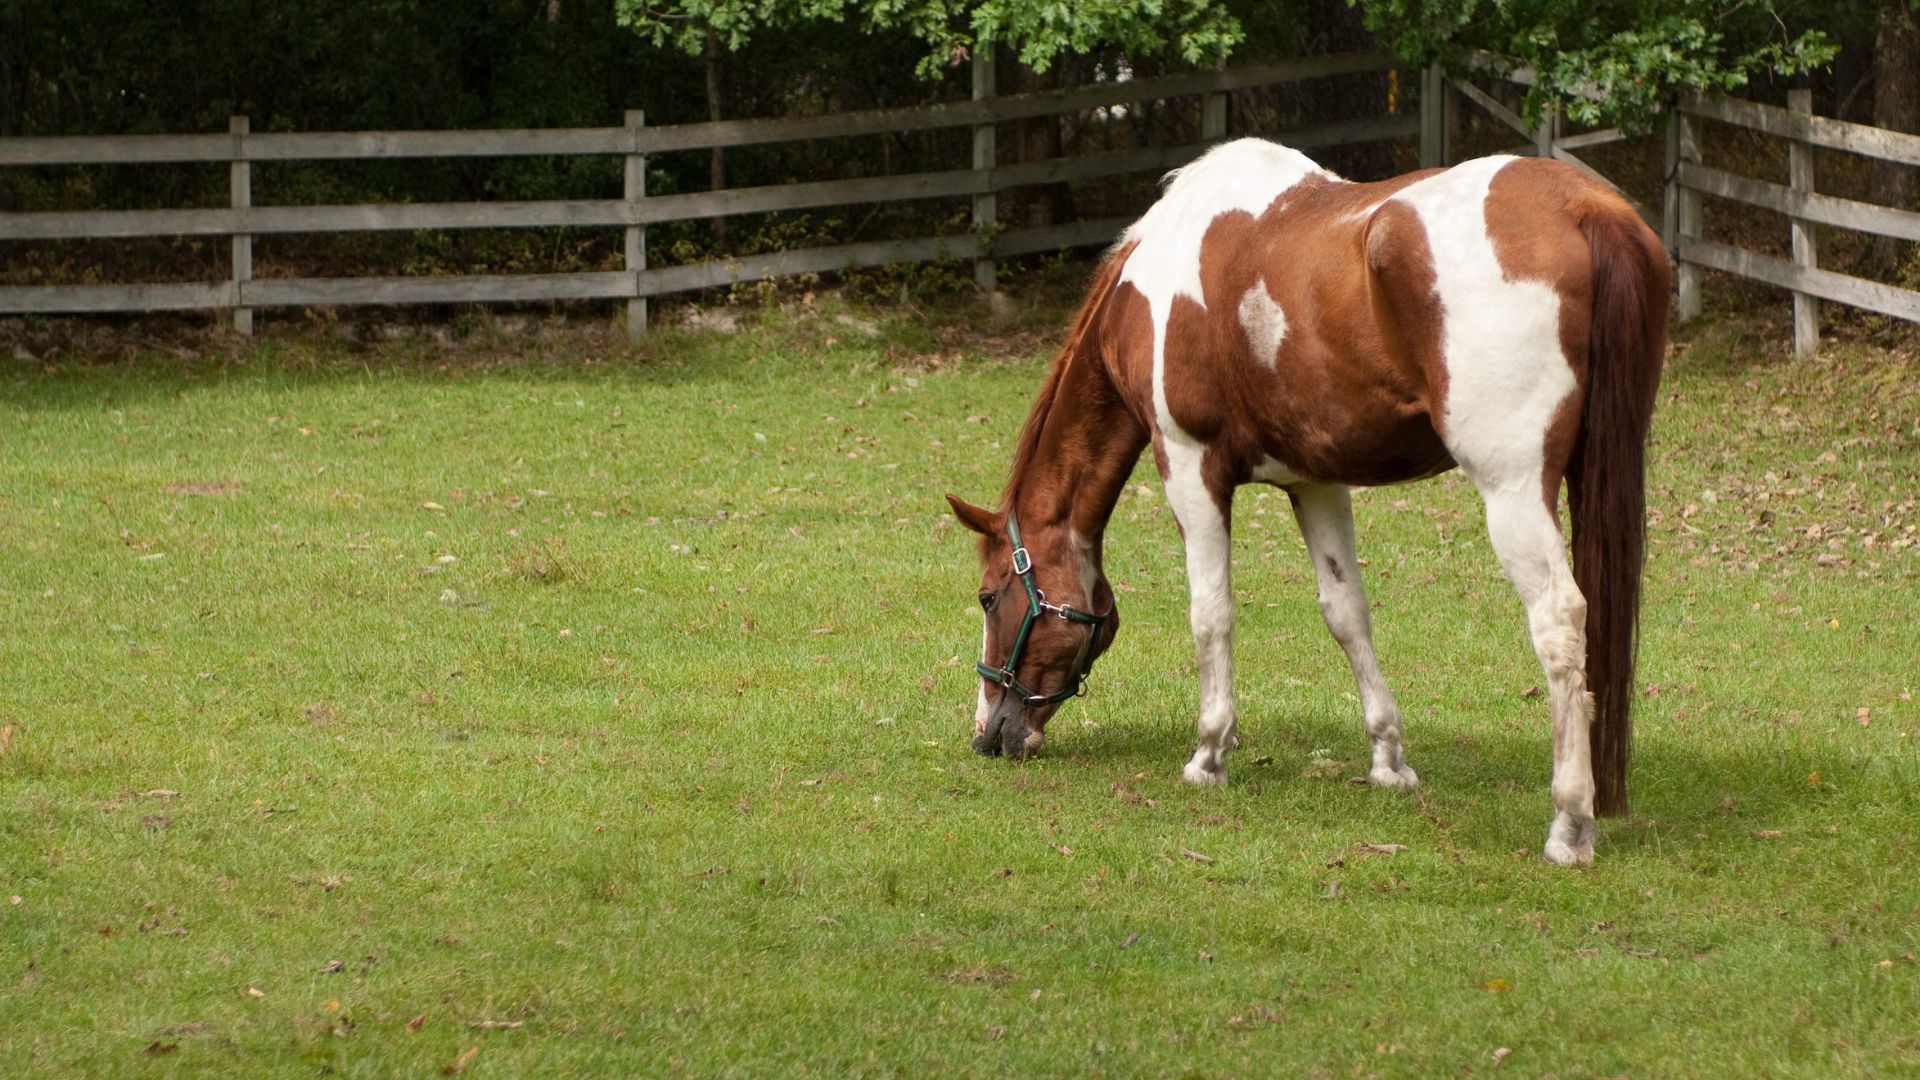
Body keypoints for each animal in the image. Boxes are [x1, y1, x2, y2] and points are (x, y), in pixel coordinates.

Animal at [944, 134, 1666, 860]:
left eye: (989, 597)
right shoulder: (1316, 483)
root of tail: (1583, 207)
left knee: (1558, 621)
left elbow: (1211, 614)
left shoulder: (1188, 464)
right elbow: (1346, 612)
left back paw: (1569, 823)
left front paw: (1208, 755)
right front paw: (1389, 761)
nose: (988, 735)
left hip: (1512, 489)